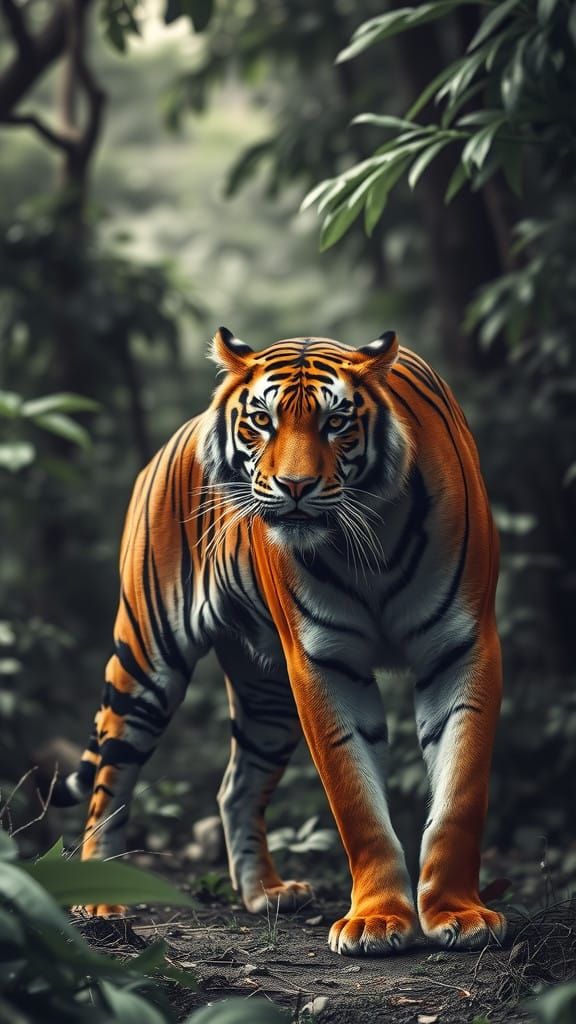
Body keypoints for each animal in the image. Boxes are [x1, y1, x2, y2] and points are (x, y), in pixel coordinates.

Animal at [50, 327, 506, 955]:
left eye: (336, 422)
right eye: (261, 422)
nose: (294, 487)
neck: (370, 544)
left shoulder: (462, 645)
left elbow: (461, 791)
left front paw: (460, 914)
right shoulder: (321, 661)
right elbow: (355, 798)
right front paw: (376, 920)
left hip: (266, 693)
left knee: (235, 787)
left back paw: (264, 893)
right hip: (144, 659)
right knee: (108, 784)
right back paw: (100, 901)